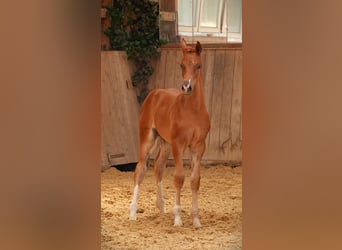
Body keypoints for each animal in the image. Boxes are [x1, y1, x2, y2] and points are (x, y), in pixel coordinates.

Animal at [128, 39, 208, 229]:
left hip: (165, 143)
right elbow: (179, 177)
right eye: (181, 64)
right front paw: (178, 218)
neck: (193, 111)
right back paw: (133, 212)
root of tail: (155, 93)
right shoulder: (179, 144)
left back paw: (161, 206)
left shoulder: (199, 146)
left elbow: (195, 180)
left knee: (158, 167)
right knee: (140, 169)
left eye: (198, 65)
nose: (186, 86)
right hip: (148, 138)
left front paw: (196, 220)